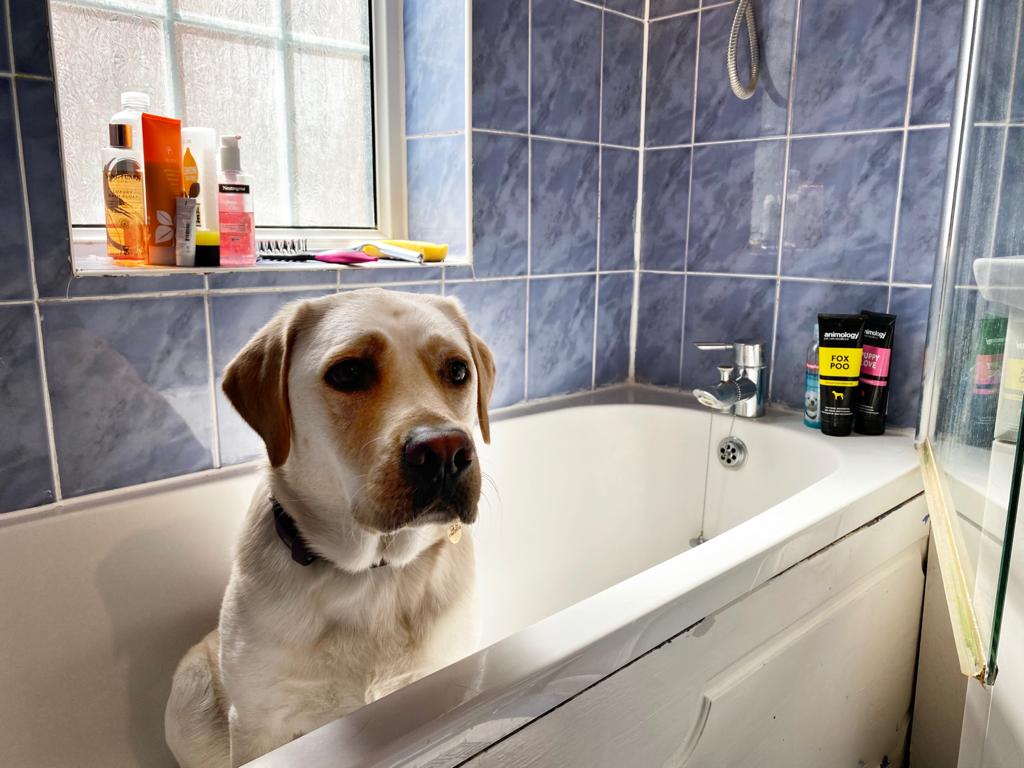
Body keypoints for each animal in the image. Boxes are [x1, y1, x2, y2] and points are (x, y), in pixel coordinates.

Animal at [165, 290, 493, 768]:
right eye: (349, 372)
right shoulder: (257, 723)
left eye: (457, 370)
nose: (445, 451)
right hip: (189, 692)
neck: (373, 574)